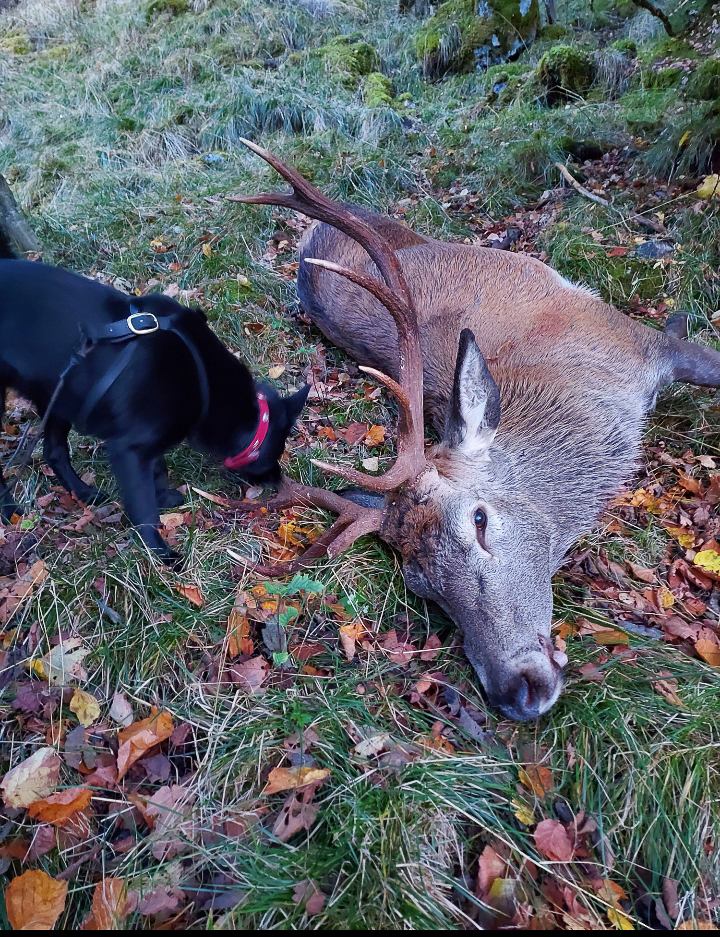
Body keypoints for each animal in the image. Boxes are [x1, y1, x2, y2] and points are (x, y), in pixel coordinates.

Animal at [0, 231, 310, 564]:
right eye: (275, 453)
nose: (279, 479)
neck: (203, 379)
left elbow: (158, 469)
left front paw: (165, 496)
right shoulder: (128, 450)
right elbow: (143, 506)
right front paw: (161, 553)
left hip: (59, 396)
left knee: (54, 451)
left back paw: (83, 492)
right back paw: (8, 510)